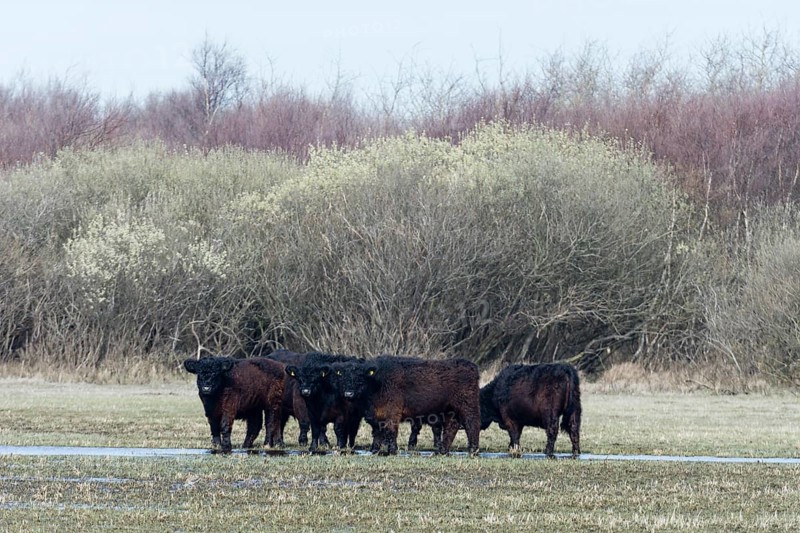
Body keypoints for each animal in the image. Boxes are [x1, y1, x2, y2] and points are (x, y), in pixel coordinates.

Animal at [333, 356, 480, 455]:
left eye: (360, 377)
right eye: (343, 377)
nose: (349, 393)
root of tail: (470, 365)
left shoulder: (392, 413)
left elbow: (391, 432)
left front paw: (392, 451)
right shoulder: (376, 416)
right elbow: (377, 433)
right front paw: (375, 450)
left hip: (468, 405)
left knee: (472, 424)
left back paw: (473, 450)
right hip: (450, 409)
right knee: (451, 428)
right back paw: (442, 451)